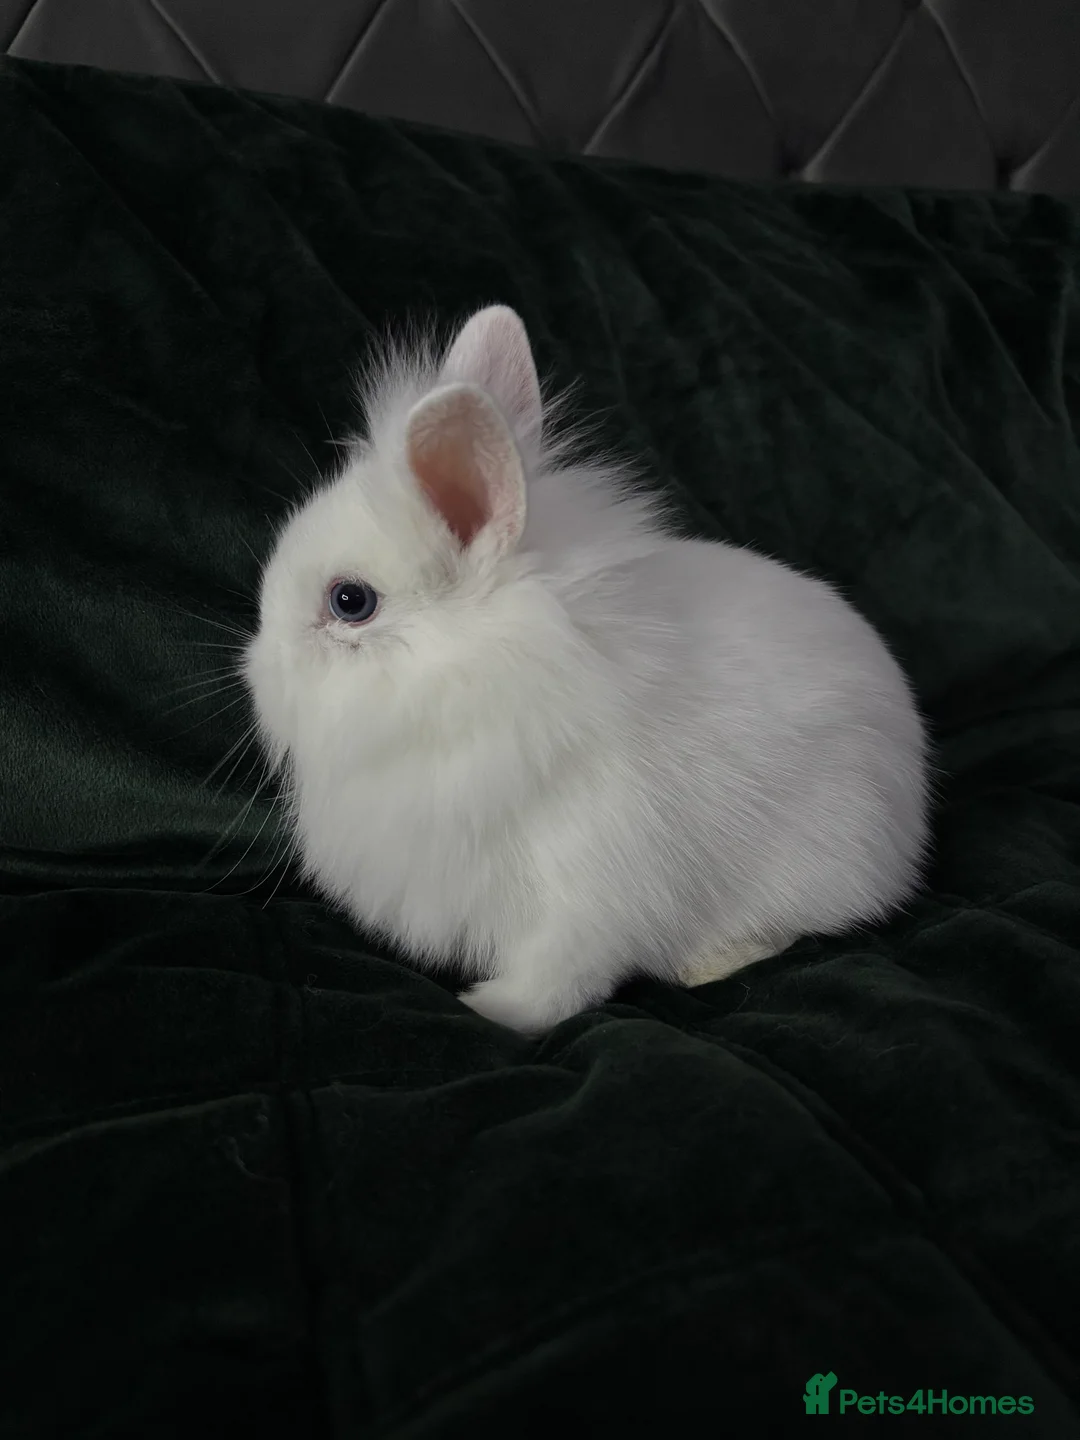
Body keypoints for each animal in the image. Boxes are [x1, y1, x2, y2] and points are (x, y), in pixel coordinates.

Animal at [242, 304, 930, 1034]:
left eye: (350, 601)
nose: (255, 670)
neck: (493, 681)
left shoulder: (590, 887)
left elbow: (562, 974)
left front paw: (493, 1010)